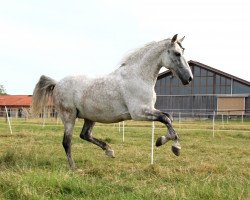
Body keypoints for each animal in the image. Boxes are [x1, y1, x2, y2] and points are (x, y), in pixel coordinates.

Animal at [32, 34, 193, 169]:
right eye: (177, 53)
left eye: (183, 51)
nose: (189, 78)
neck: (138, 76)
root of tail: (57, 83)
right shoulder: (139, 113)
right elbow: (166, 119)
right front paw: (175, 147)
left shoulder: (149, 109)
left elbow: (168, 118)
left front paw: (161, 141)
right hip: (69, 117)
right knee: (67, 142)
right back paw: (74, 167)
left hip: (90, 117)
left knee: (85, 135)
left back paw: (109, 151)